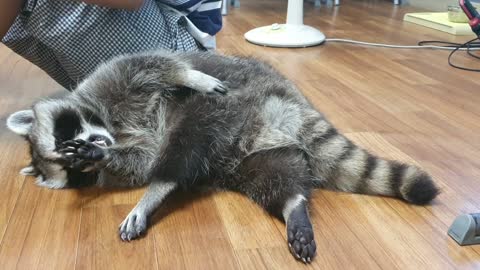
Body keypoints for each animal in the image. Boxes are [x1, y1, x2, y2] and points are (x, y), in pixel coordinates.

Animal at [5, 50, 438, 262]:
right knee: (274, 175)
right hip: (245, 155)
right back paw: (291, 202)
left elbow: (154, 65)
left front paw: (189, 75)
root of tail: (286, 101)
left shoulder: (112, 80)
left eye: (65, 134)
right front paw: (104, 158)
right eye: (75, 173)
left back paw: (160, 188)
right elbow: (140, 161)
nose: (92, 150)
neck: (112, 126)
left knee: (186, 139)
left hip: (231, 106)